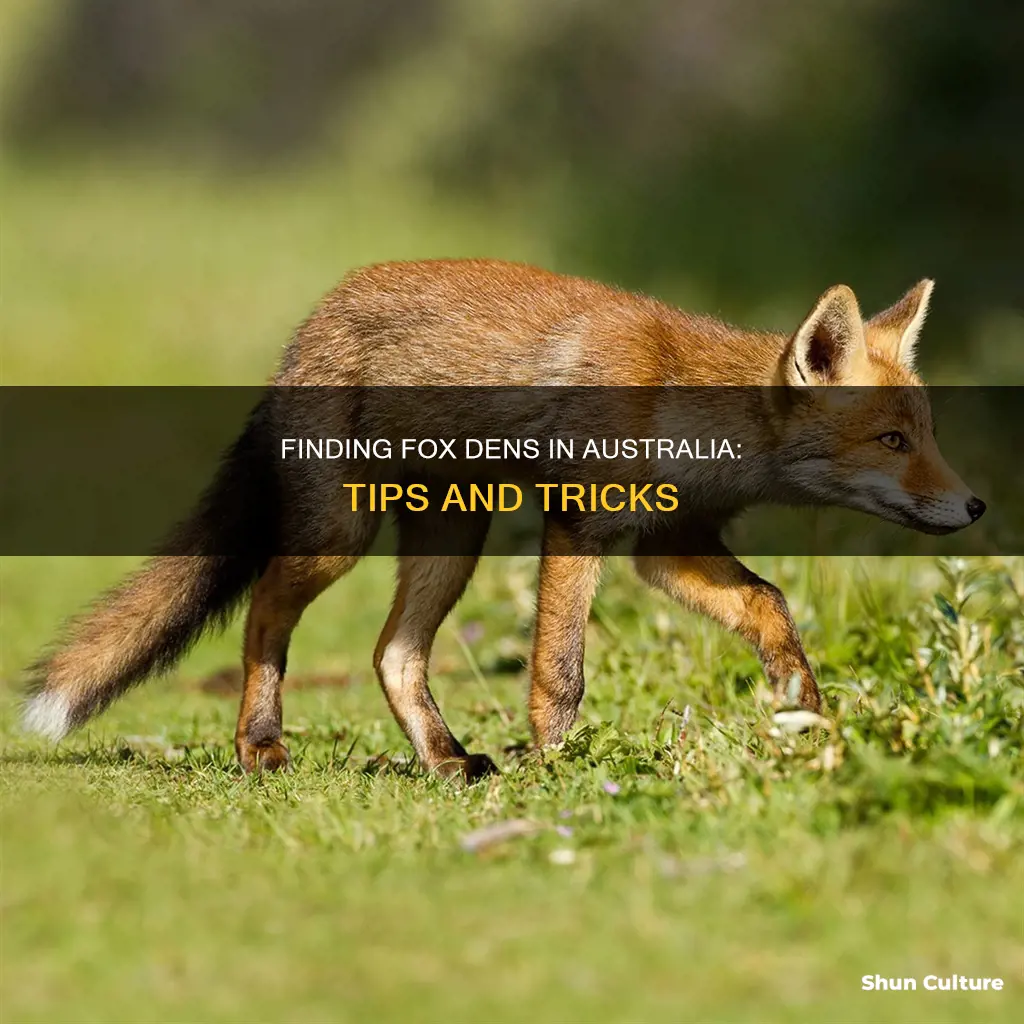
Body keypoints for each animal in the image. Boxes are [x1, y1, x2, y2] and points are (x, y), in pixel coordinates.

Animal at [23, 260, 985, 781]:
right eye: (893, 440)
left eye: (930, 435)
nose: (976, 505)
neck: (685, 400)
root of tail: (309, 326)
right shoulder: (581, 524)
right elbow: (560, 672)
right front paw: (557, 765)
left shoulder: (672, 543)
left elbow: (771, 605)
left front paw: (808, 715)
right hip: (340, 536)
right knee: (265, 611)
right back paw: (260, 746)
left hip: (454, 539)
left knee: (392, 653)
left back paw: (446, 760)